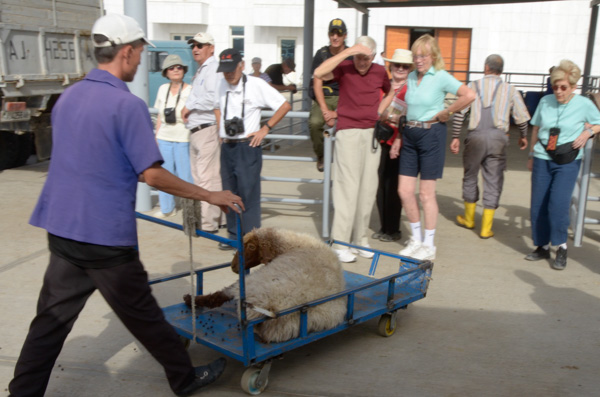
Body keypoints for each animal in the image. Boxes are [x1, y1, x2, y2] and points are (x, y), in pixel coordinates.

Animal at [185, 227, 350, 342]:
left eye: (251, 247)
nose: (233, 267)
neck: (294, 244)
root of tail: (273, 308)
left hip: (252, 282)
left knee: (222, 294)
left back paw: (190, 299)